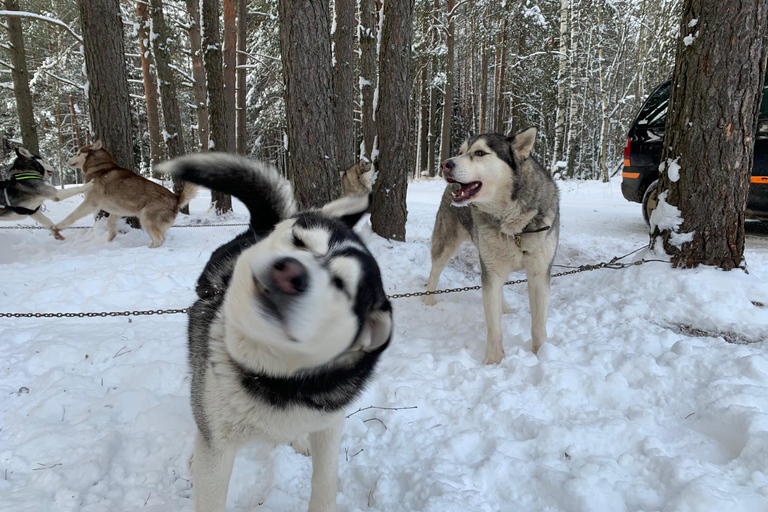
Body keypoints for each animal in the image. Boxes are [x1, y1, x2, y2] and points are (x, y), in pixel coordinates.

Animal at [52, 139, 196, 245]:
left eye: (77, 153)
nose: (66, 160)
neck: (99, 168)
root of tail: (176, 198)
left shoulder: (90, 203)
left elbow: (71, 216)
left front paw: (57, 227)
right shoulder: (117, 211)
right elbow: (110, 224)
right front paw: (111, 239)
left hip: (146, 220)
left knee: (159, 240)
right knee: (161, 238)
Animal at [158, 154, 396, 512]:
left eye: (341, 284)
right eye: (298, 241)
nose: (289, 272)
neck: (272, 376)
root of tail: (258, 228)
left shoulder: (330, 425)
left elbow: (325, 484)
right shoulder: (218, 447)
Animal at [426, 127, 560, 364]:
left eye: (480, 153)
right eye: (461, 151)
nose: (445, 164)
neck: (514, 227)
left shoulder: (539, 273)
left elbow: (539, 323)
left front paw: (541, 353)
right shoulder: (492, 271)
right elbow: (493, 325)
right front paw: (493, 361)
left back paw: (505, 307)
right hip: (446, 245)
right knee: (434, 272)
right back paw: (428, 302)